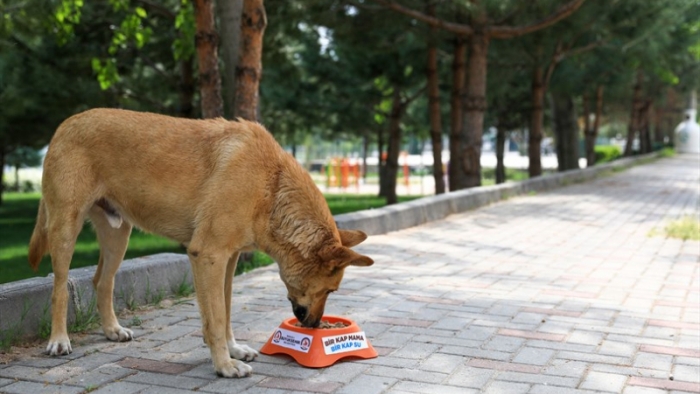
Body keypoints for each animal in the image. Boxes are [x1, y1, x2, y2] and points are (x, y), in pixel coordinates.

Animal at [29, 107, 374, 376]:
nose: (314, 326)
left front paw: (232, 350)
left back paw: (112, 330)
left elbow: (226, 310)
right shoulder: (208, 255)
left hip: (118, 237)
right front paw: (224, 365)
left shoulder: (228, 260)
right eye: (331, 290)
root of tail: (66, 123)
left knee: (102, 281)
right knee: (60, 287)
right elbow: (217, 317)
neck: (272, 186)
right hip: (65, 229)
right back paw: (59, 340)